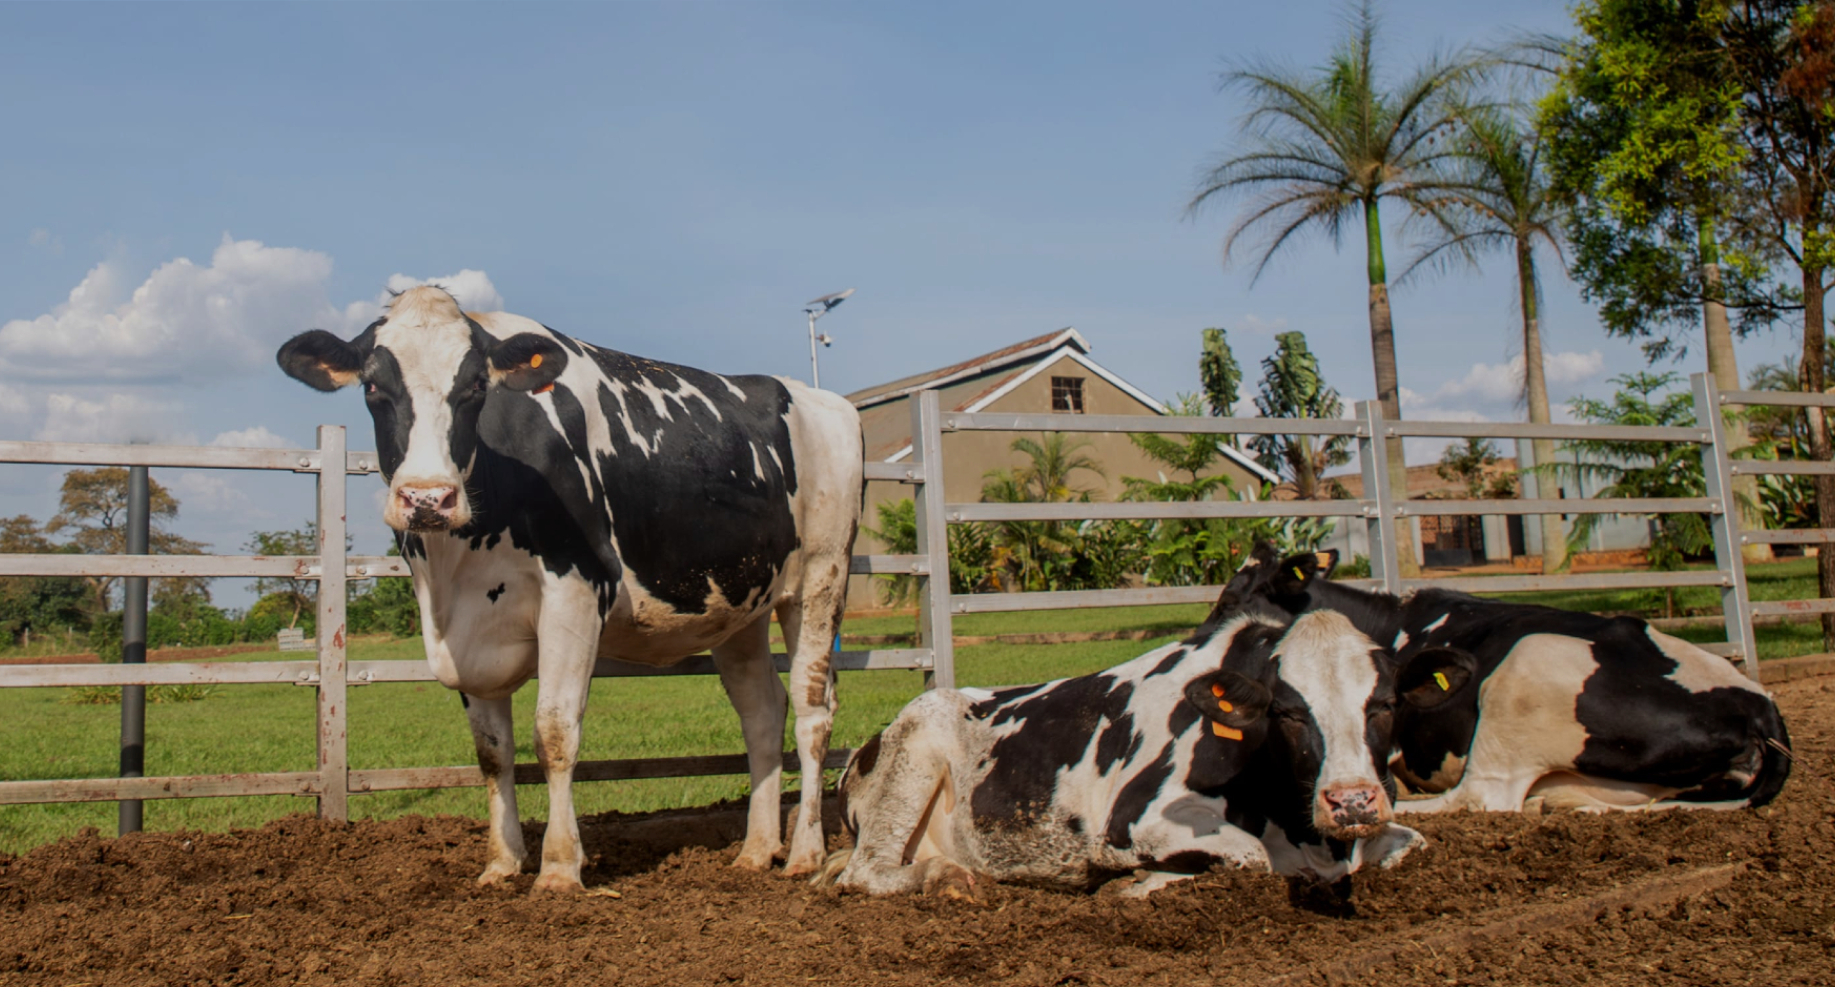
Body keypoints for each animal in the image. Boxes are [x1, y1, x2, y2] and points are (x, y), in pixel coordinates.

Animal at [276, 286, 864, 892]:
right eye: (373, 387)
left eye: (476, 387)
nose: (427, 499)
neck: (455, 566)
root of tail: (815, 396)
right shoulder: (462, 634)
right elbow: (493, 751)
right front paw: (502, 863)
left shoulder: (577, 590)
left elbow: (554, 732)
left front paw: (559, 869)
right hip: (739, 603)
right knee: (762, 710)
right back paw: (756, 849)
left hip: (820, 581)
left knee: (813, 711)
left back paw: (805, 853)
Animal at [816, 594, 1473, 899]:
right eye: (1287, 711)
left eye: (1384, 703)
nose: (1352, 801)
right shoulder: (1132, 820)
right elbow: (1249, 858)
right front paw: (1135, 884)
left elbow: (1411, 841)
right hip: (914, 753)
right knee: (865, 873)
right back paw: (946, 878)